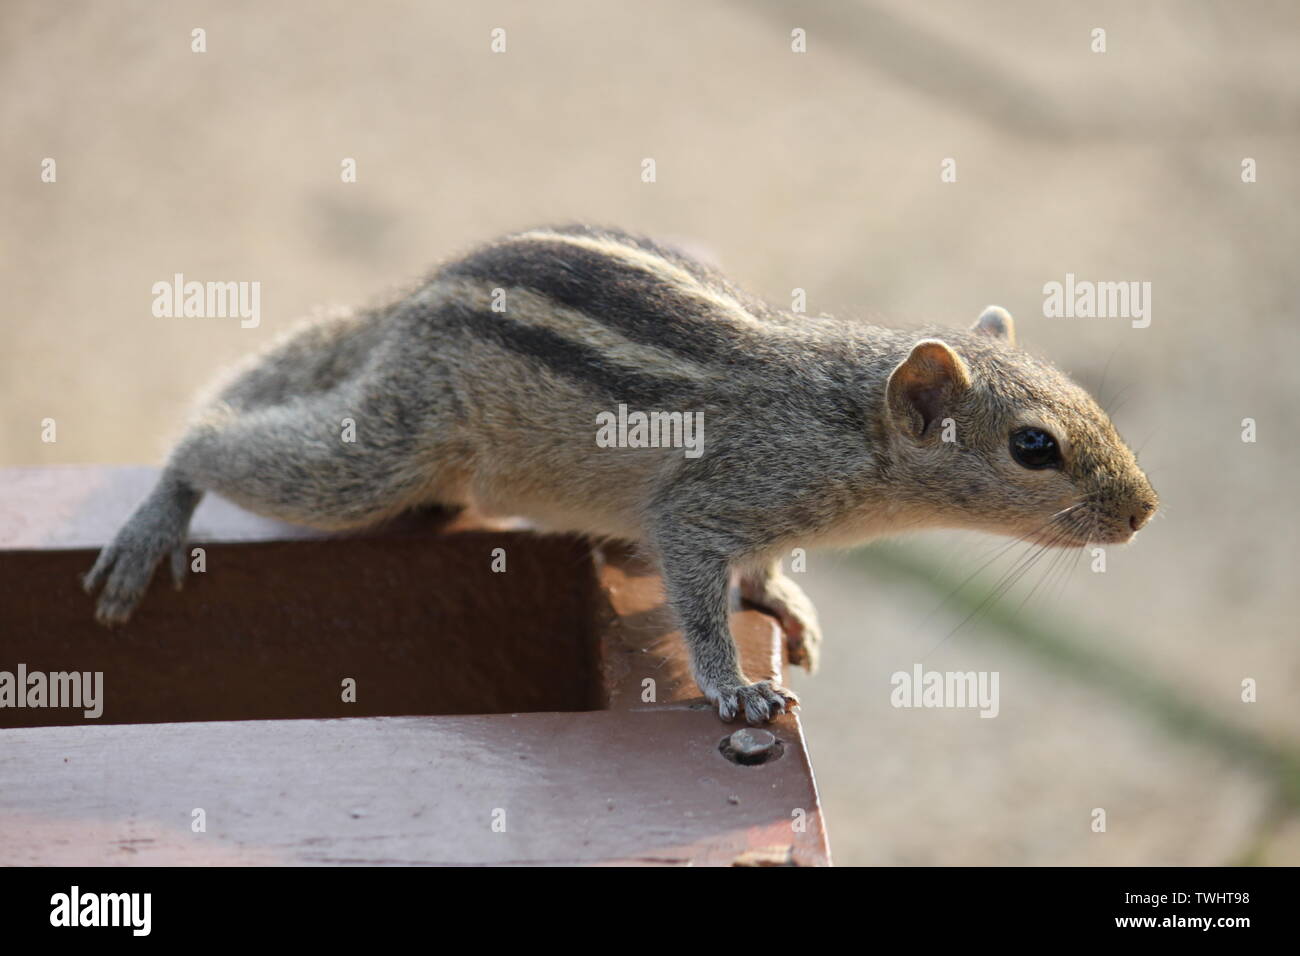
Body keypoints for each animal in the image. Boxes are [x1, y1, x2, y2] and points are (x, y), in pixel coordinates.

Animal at [83, 226, 1159, 723]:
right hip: (391, 447)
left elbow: (761, 570)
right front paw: (736, 688)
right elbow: (696, 593)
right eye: (1033, 446)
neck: (838, 417)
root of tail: (409, 300)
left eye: (1086, 400)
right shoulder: (708, 500)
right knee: (218, 440)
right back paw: (155, 518)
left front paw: (786, 601)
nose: (1144, 512)